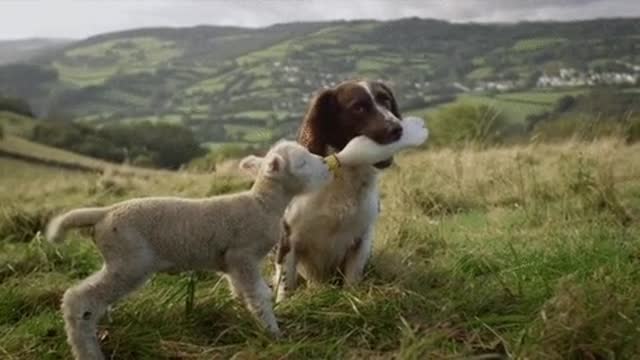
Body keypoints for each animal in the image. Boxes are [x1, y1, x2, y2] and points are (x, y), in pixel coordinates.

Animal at [45, 140, 332, 360]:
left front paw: (242, 321)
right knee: (78, 300)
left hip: (121, 260)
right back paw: (88, 352)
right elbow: (260, 295)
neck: (262, 204)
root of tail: (104, 213)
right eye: (302, 162)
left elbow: (241, 293)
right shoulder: (243, 255)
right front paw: (274, 334)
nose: (327, 163)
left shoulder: (230, 263)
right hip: (129, 260)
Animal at [272, 79, 402, 300]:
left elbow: (352, 279)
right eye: (358, 107)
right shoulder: (289, 239)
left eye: (385, 100)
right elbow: (285, 285)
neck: (342, 175)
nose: (397, 128)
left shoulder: (362, 238)